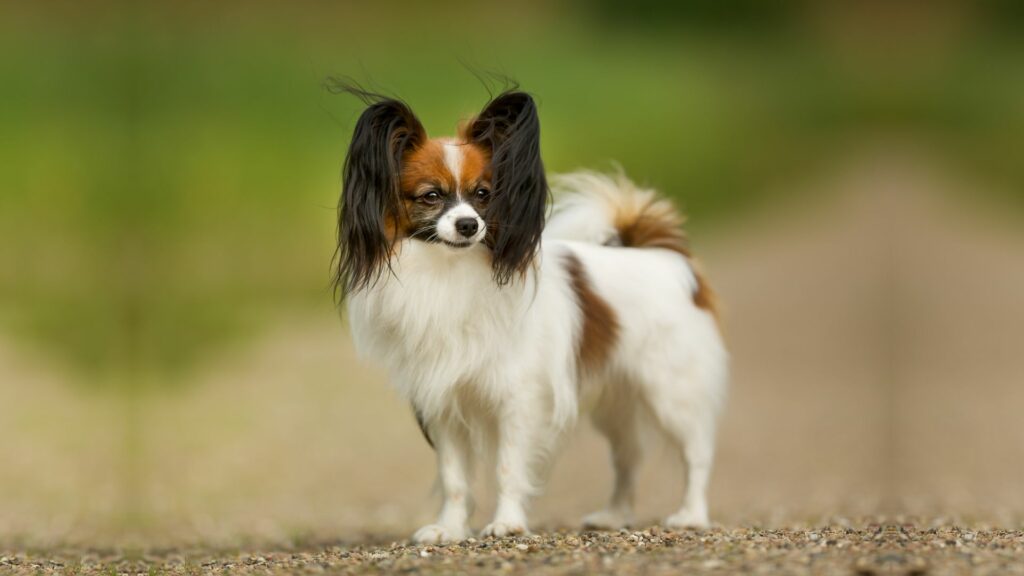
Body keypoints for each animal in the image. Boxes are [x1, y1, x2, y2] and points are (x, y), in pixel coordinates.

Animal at [335, 86, 729, 541]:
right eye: (431, 195)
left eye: (483, 194)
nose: (469, 225)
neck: (448, 273)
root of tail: (663, 256)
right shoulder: (443, 402)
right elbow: (454, 478)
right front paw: (449, 529)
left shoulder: (518, 397)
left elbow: (508, 467)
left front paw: (507, 523)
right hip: (616, 401)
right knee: (628, 459)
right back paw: (614, 517)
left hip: (672, 391)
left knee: (696, 454)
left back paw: (692, 516)